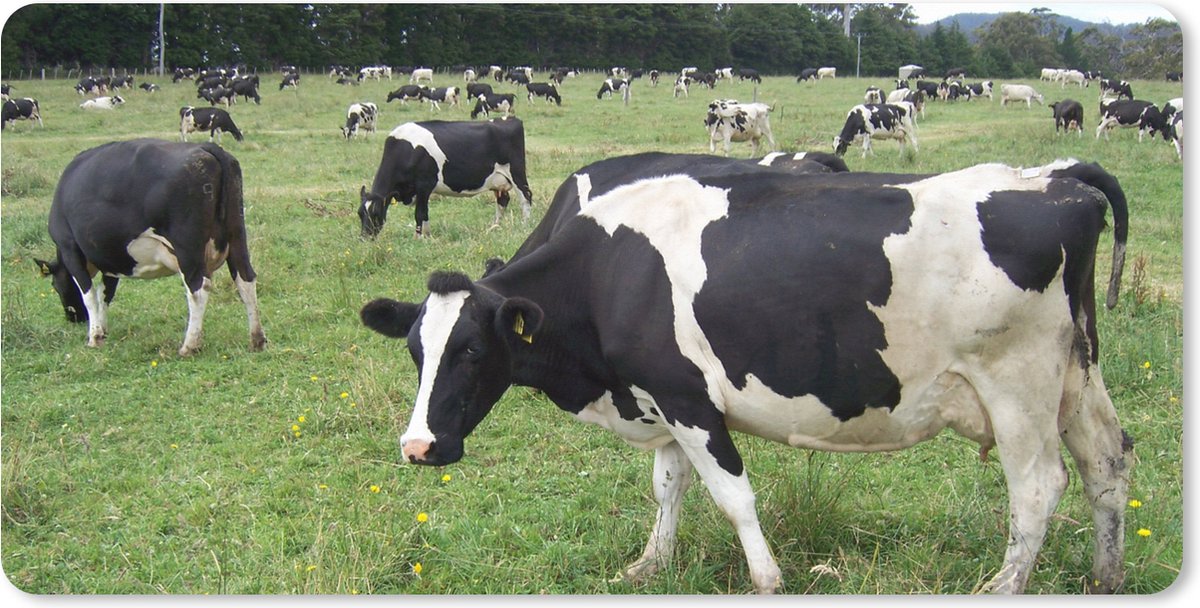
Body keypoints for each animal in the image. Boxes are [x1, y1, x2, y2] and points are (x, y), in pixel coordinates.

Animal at [37, 139, 265, 356]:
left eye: (55, 286)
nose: (73, 319)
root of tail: (205, 147)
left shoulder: (70, 247)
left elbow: (90, 296)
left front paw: (94, 336)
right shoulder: (111, 258)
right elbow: (105, 294)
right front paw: (103, 330)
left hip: (187, 247)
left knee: (198, 288)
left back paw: (189, 346)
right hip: (237, 235)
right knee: (245, 279)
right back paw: (257, 340)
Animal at [357, 119, 534, 237]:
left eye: (375, 213)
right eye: (360, 214)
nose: (365, 238)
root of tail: (508, 119)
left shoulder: (425, 185)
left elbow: (420, 213)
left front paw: (419, 237)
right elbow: (424, 213)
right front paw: (426, 235)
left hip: (516, 172)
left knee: (526, 197)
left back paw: (524, 226)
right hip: (498, 180)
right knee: (503, 200)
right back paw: (494, 227)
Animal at [360, 156, 1130, 595]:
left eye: (471, 351)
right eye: (416, 351)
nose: (418, 447)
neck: (609, 273)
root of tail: (1055, 182)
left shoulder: (687, 397)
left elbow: (733, 496)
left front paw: (765, 578)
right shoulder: (661, 396)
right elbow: (667, 485)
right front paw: (650, 565)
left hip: (1017, 382)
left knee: (1039, 486)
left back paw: (1003, 585)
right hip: (1077, 372)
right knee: (1108, 461)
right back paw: (1106, 575)